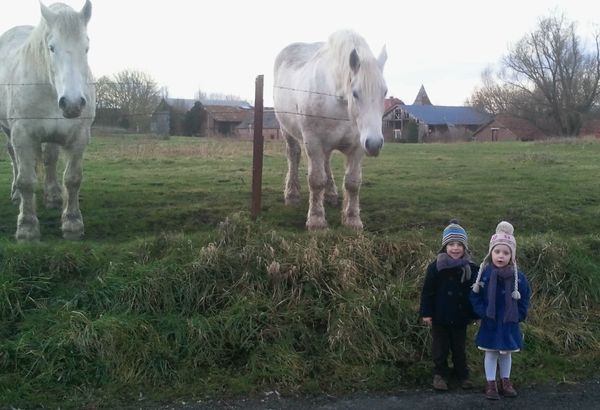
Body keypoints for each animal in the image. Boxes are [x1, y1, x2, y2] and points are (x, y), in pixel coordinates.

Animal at [0, 0, 95, 240]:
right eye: (52, 48)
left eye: (86, 48)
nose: (72, 103)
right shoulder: (22, 136)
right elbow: (26, 180)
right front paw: (27, 228)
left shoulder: (79, 137)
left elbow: (72, 179)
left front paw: (72, 224)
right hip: (8, 130)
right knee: (14, 159)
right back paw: (16, 194)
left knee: (49, 159)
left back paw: (53, 196)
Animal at [274, 30, 386, 231]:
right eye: (355, 93)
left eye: (385, 93)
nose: (374, 143)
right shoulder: (313, 143)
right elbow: (316, 180)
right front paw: (316, 221)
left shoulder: (357, 147)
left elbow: (352, 183)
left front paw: (352, 220)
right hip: (287, 130)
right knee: (293, 155)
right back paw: (292, 195)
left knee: (326, 162)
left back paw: (330, 195)